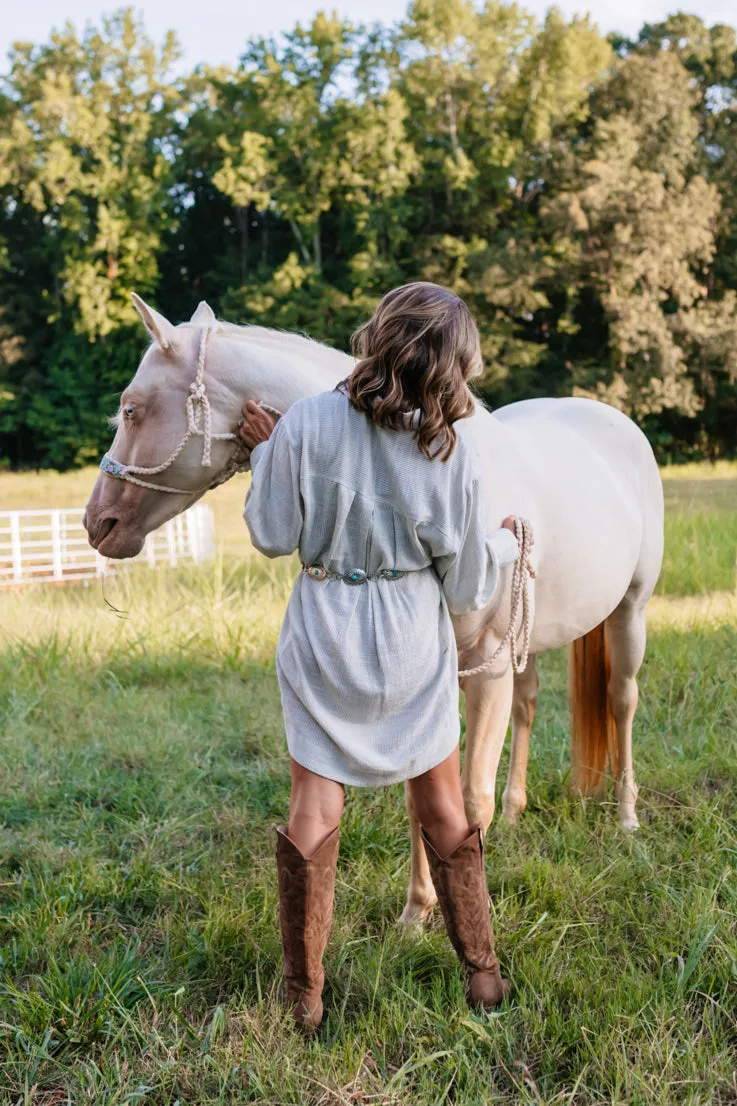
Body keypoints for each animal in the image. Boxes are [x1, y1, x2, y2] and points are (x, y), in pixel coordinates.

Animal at [84, 296, 659, 924]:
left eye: (131, 409)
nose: (97, 523)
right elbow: (423, 798)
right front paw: (417, 912)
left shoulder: (483, 673)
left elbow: (467, 799)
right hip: (523, 650)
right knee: (529, 707)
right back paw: (515, 813)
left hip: (629, 613)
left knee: (623, 701)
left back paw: (627, 816)